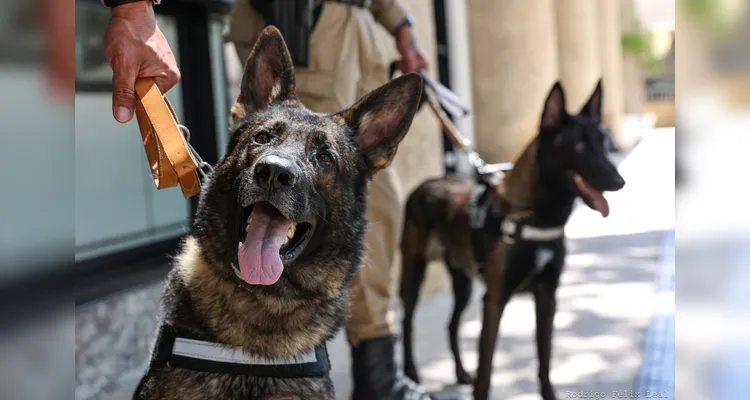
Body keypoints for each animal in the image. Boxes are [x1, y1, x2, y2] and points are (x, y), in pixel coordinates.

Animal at [400, 79, 628, 400]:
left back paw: (460, 372)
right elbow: (486, 371)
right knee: (407, 323)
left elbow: (544, 361)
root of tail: (428, 183)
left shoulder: (547, 298)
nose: (619, 182)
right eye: (579, 147)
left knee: (452, 325)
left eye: (602, 142)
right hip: (414, 272)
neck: (535, 216)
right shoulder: (495, 300)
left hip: (463, 282)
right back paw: (411, 373)